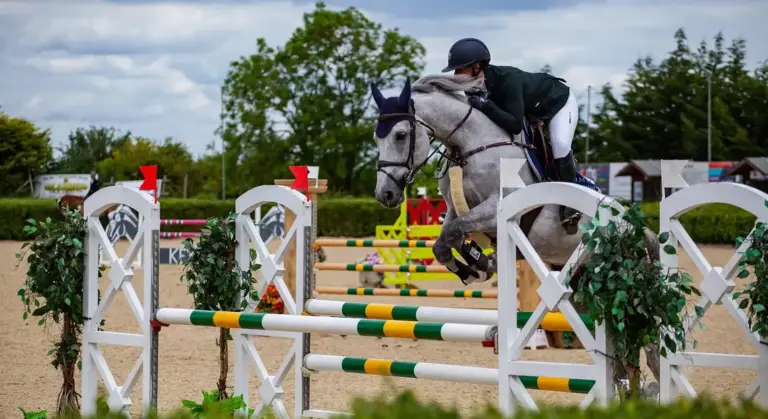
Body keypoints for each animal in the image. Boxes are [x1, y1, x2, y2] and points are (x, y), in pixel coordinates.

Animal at [369, 74, 662, 386]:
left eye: (400, 135)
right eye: (377, 137)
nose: (385, 195)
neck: (470, 145)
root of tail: (637, 228)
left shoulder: (497, 211)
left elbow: (457, 232)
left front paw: (480, 264)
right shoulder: (453, 210)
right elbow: (444, 242)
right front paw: (472, 268)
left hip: (624, 284)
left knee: (646, 341)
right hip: (583, 287)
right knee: (621, 345)